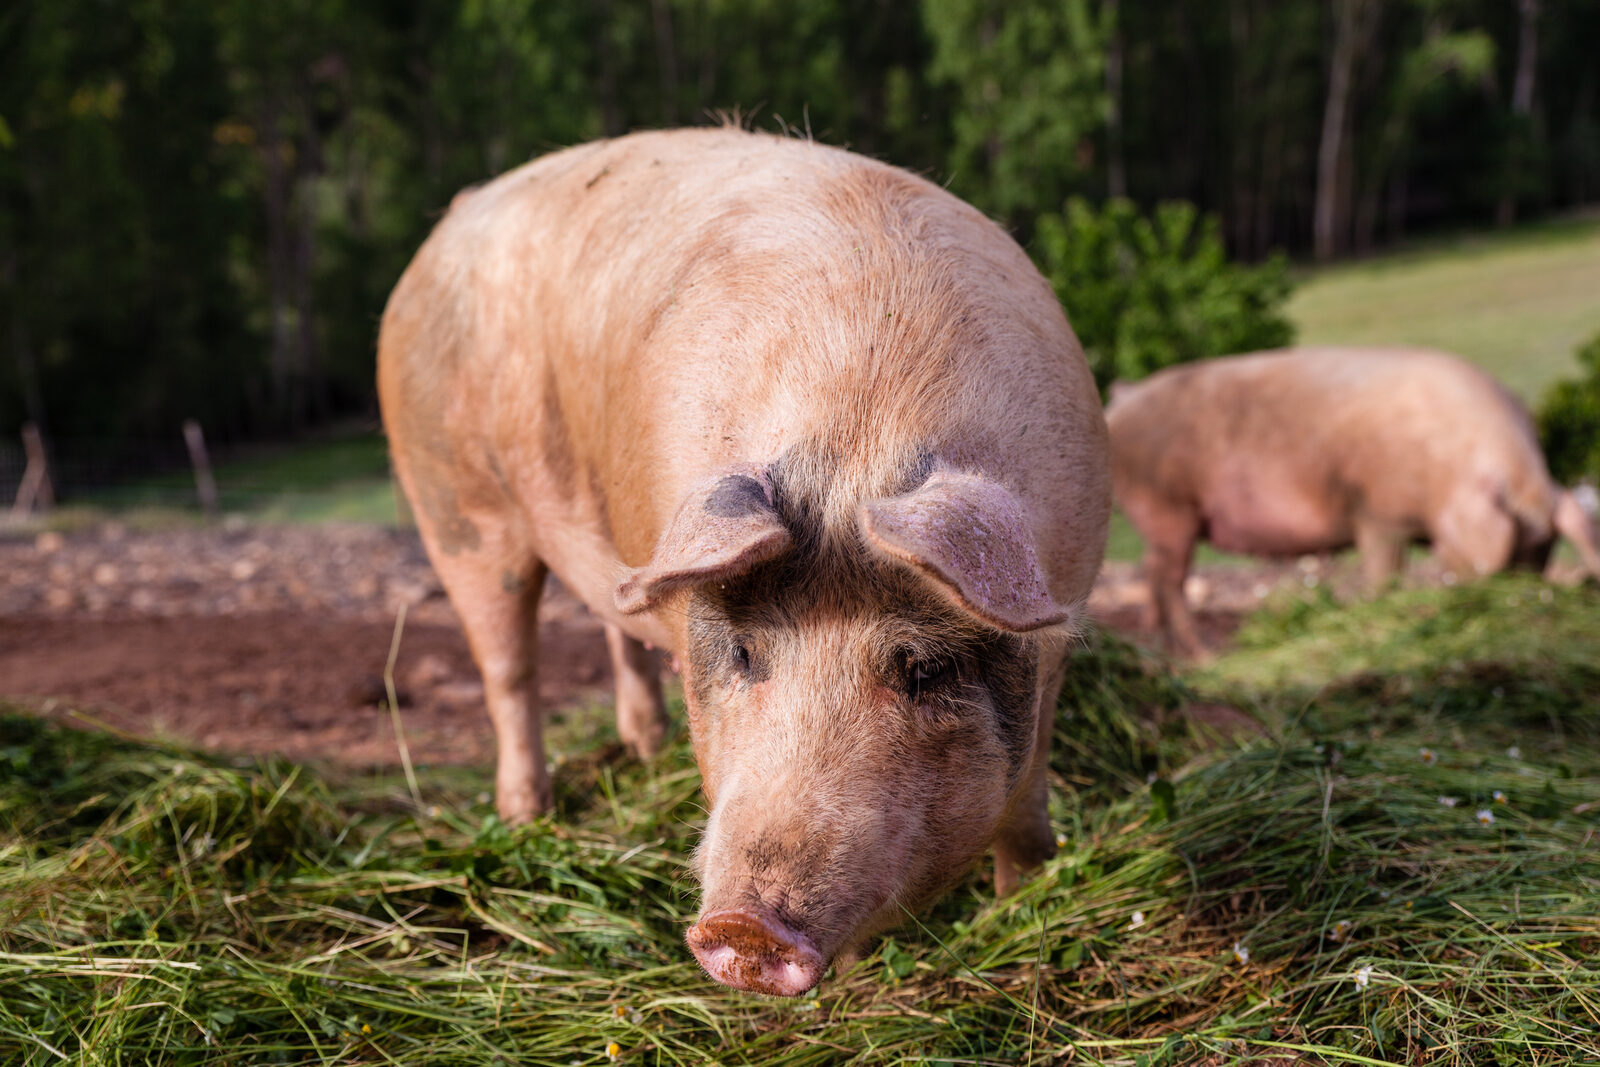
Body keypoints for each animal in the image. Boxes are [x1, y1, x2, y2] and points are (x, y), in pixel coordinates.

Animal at [377, 128, 1110, 995]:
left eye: (924, 669)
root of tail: (444, 230)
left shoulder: (1060, 618)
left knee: (612, 621)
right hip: (452, 502)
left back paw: (642, 748)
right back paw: (529, 814)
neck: (858, 437)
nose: (745, 929)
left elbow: (1026, 806)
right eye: (746, 652)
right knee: (507, 667)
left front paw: (1024, 896)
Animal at [1106, 346, 1600, 657]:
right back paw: (1204, 655)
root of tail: (1118, 405)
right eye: (1514, 547)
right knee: (1170, 580)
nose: (1519, 593)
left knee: (1154, 573)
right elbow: (1384, 578)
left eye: (1542, 550)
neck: (1446, 468)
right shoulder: (1377, 512)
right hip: (1167, 506)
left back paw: (1162, 645)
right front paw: (1383, 611)